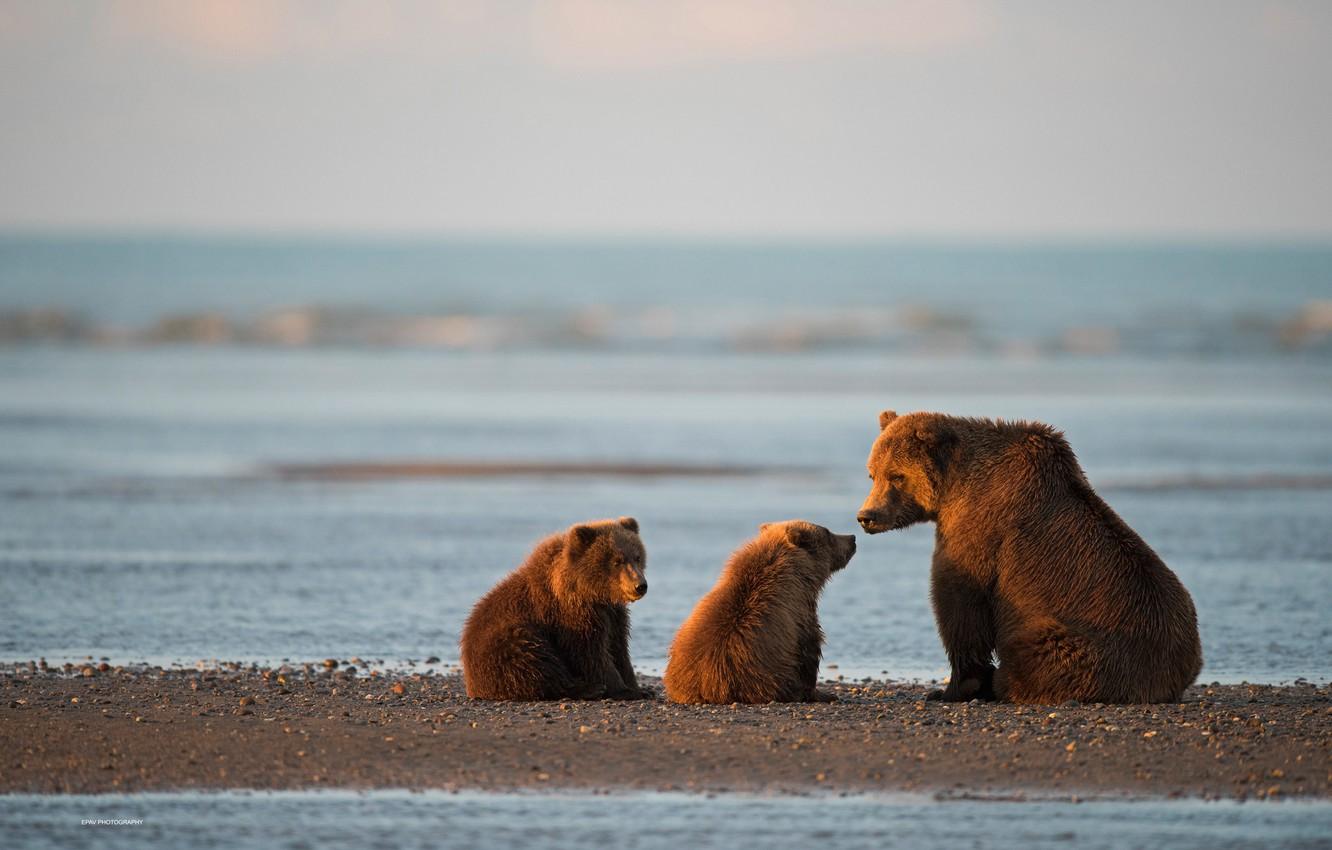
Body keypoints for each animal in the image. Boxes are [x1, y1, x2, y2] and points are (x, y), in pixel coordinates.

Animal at [460, 517, 651, 701]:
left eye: (637, 557)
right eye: (617, 561)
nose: (640, 585)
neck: (593, 592)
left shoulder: (613, 615)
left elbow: (618, 649)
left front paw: (639, 688)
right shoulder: (572, 615)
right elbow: (590, 653)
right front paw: (624, 690)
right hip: (507, 641)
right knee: (535, 661)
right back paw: (587, 689)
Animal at [857, 410, 1203, 705]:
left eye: (897, 476)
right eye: (872, 474)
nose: (866, 516)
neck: (954, 486)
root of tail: (1179, 673)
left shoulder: (979, 525)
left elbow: (959, 600)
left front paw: (951, 689)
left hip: (1087, 644)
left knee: (1034, 655)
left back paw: (1004, 683)